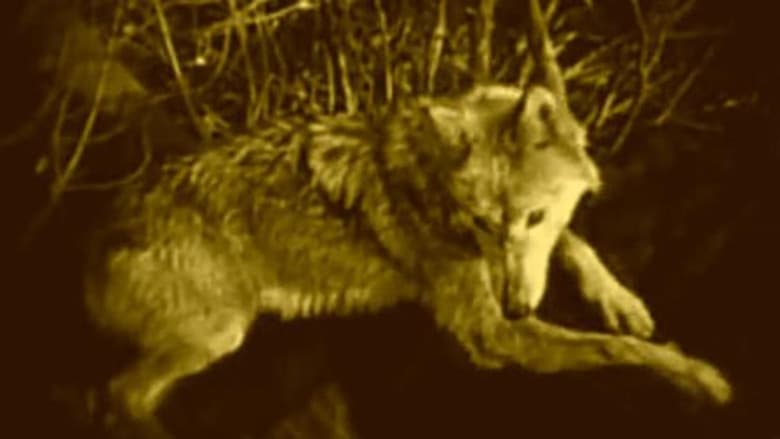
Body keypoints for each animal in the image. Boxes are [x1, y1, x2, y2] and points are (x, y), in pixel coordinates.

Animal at [83, 82, 731, 439]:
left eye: (531, 218)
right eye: (483, 223)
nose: (517, 309)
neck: (435, 185)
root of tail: (98, 237)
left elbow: (576, 246)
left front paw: (620, 300)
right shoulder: (492, 336)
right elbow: (615, 350)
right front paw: (700, 377)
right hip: (222, 334)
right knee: (117, 396)